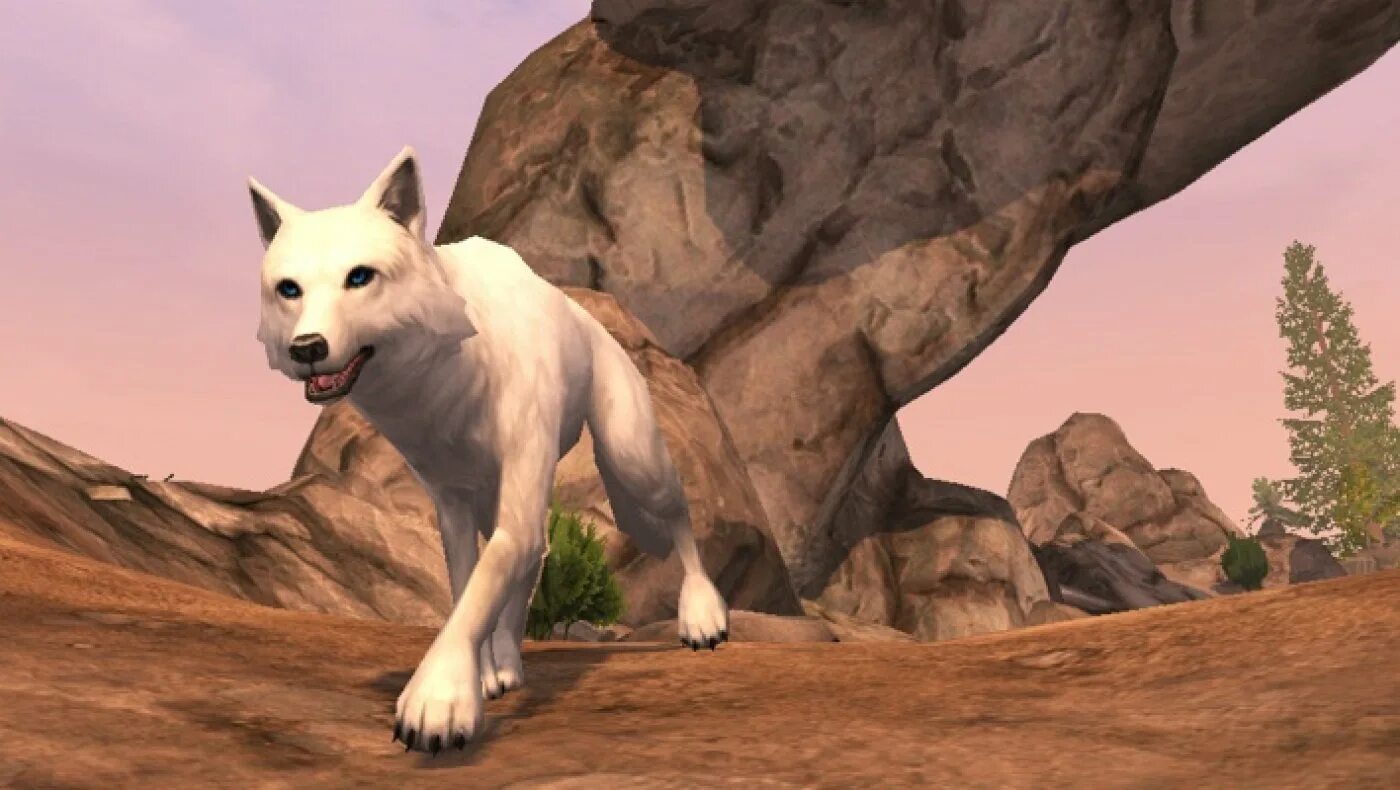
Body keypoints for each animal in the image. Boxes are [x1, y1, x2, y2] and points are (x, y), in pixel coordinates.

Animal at [248, 147, 730, 753]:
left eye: (359, 277)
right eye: (289, 289)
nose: (307, 347)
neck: (453, 374)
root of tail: (590, 314)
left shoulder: (516, 483)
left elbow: (482, 588)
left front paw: (439, 699)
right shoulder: (452, 502)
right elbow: (467, 588)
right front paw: (478, 676)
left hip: (632, 459)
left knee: (677, 517)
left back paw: (702, 615)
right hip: (500, 498)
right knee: (534, 559)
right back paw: (505, 665)